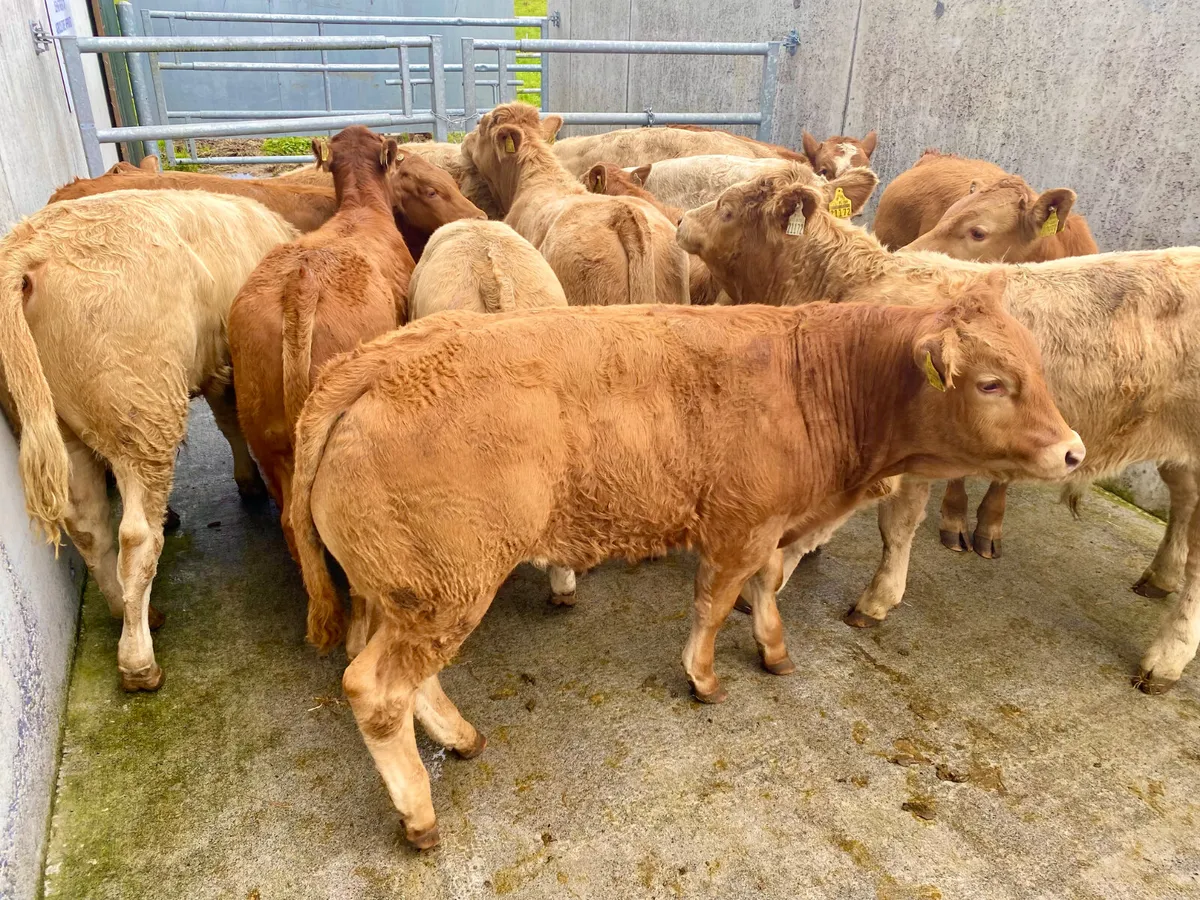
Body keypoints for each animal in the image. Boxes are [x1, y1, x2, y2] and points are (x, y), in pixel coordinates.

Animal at [0, 190, 296, 690]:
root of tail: (33, 244)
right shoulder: (225, 366)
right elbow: (230, 421)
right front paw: (249, 482)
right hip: (142, 408)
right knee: (136, 537)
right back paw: (139, 662)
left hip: (61, 426)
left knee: (90, 527)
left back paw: (131, 613)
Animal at [287, 292, 1079, 850]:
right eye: (991, 383)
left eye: (1038, 370)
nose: (1073, 450)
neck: (813, 380)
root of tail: (376, 361)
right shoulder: (739, 526)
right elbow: (715, 600)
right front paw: (702, 675)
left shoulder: (771, 526)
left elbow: (766, 587)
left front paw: (773, 648)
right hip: (446, 589)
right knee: (375, 687)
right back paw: (419, 810)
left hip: (404, 593)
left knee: (404, 674)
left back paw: (458, 737)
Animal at [678, 168, 1200, 695]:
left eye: (727, 208)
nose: (680, 219)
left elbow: (890, 526)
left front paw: (867, 596)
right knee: (1183, 505)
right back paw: (1160, 576)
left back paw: (1166, 657)